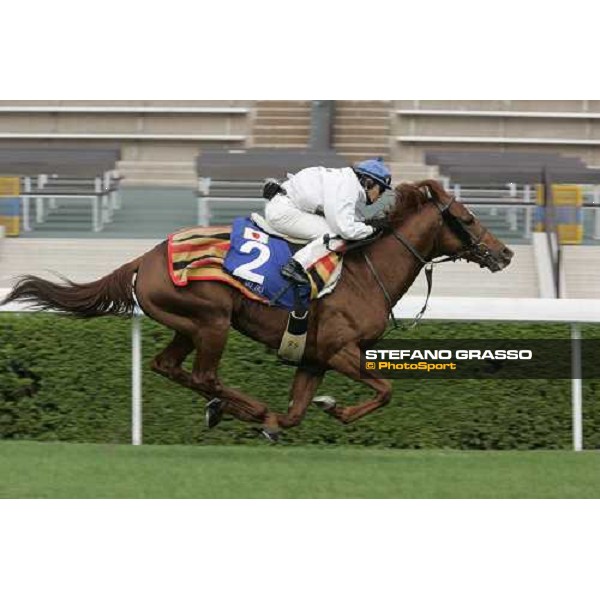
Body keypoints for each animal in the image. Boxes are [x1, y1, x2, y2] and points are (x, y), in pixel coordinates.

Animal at [2, 180, 512, 438]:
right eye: (467, 219)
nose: (505, 253)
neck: (367, 274)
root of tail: (143, 259)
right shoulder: (341, 350)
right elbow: (385, 389)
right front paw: (335, 410)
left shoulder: (313, 359)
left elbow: (297, 413)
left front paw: (314, 409)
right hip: (212, 320)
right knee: (204, 374)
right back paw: (241, 407)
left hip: (188, 324)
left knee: (169, 366)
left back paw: (226, 409)